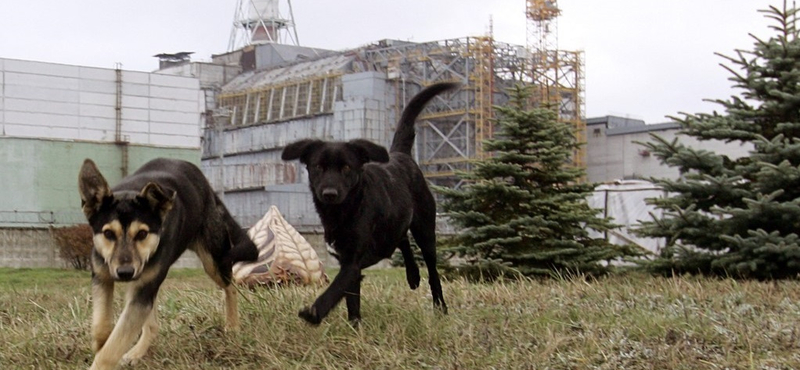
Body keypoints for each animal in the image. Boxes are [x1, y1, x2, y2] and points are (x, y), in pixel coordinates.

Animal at [78, 159, 256, 370]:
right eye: (108, 233)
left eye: (142, 234)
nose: (125, 273)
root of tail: (209, 191)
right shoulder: (102, 277)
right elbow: (102, 326)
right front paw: (100, 343)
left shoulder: (143, 288)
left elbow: (114, 345)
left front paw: (102, 359)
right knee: (152, 325)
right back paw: (137, 352)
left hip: (214, 260)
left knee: (231, 286)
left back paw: (232, 326)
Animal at [282, 81, 456, 324]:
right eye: (318, 167)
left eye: (346, 167)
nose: (329, 193)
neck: (344, 211)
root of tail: (400, 154)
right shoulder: (346, 260)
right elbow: (351, 299)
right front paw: (355, 325)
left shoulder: (352, 262)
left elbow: (335, 288)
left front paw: (315, 312)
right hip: (395, 226)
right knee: (401, 239)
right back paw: (413, 275)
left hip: (425, 229)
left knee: (432, 270)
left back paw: (440, 306)